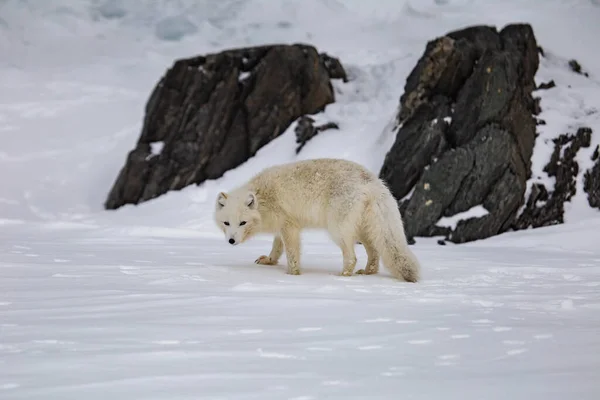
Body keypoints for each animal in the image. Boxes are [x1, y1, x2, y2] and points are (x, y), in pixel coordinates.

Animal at [213, 158, 420, 282]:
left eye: (242, 223)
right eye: (226, 223)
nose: (231, 241)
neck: (264, 198)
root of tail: (373, 182)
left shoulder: (289, 226)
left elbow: (292, 254)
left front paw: (292, 275)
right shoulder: (282, 226)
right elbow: (277, 247)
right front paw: (270, 261)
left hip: (338, 230)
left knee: (352, 257)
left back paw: (343, 276)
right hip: (364, 229)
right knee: (374, 254)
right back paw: (367, 272)